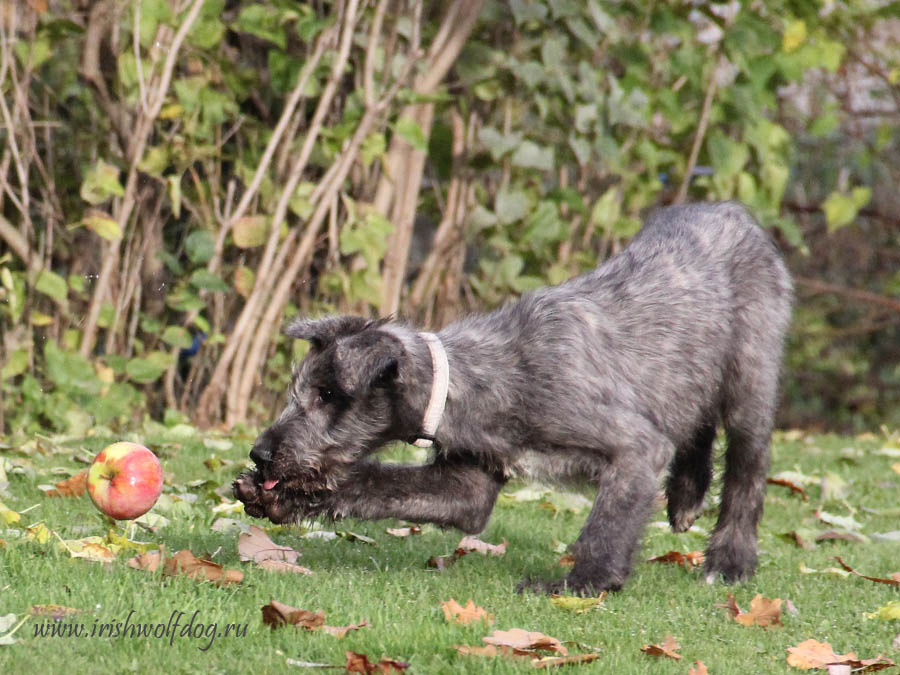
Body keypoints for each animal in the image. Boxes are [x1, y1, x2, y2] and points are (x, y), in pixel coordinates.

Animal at [236, 201, 792, 592]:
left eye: (329, 394)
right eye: (302, 390)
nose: (260, 454)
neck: (478, 377)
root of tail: (736, 213)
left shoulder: (634, 447)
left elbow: (608, 524)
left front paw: (582, 584)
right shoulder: (466, 484)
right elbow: (377, 484)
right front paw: (286, 498)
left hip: (750, 380)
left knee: (748, 466)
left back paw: (730, 561)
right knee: (697, 426)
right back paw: (686, 496)